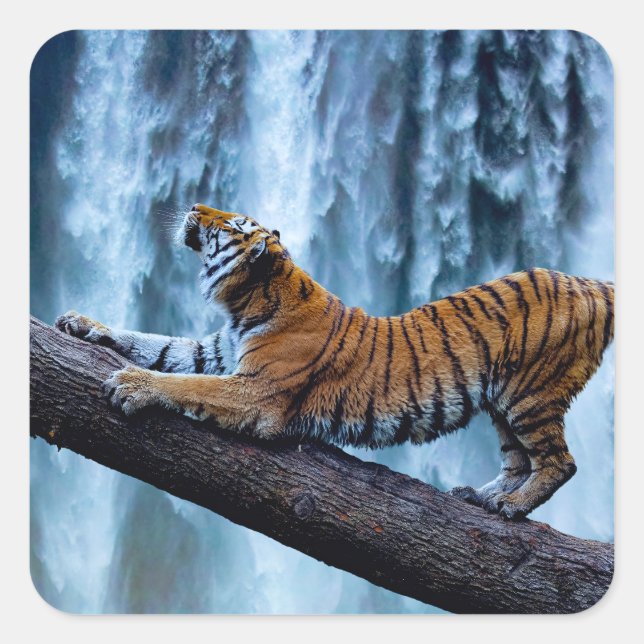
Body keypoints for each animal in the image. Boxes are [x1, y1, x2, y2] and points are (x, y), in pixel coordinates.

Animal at [56, 203, 614, 520]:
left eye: (229, 224)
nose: (194, 202)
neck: (247, 302)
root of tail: (590, 282)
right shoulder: (215, 352)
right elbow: (157, 344)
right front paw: (84, 324)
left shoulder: (255, 393)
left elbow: (184, 385)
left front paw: (131, 385)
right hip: (503, 400)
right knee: (517, 458)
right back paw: (483, 496)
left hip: (530, 394)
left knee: (560, 462)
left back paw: (511, 506)